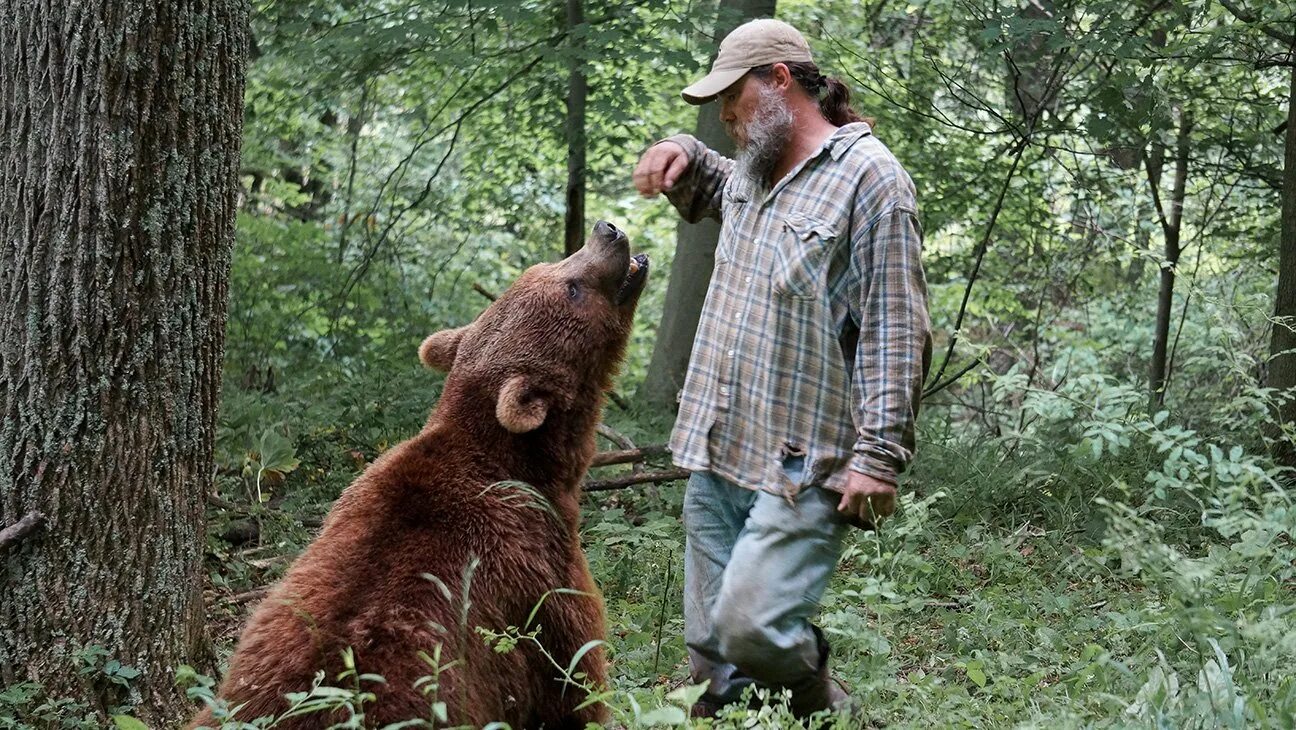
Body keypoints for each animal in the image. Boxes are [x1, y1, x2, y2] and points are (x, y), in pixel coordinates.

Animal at [189, 219, 648, 730]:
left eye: (547, 264)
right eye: (571, 287)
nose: (608, 231)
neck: (532, 468)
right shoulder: (540, 578)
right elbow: (572, 681)